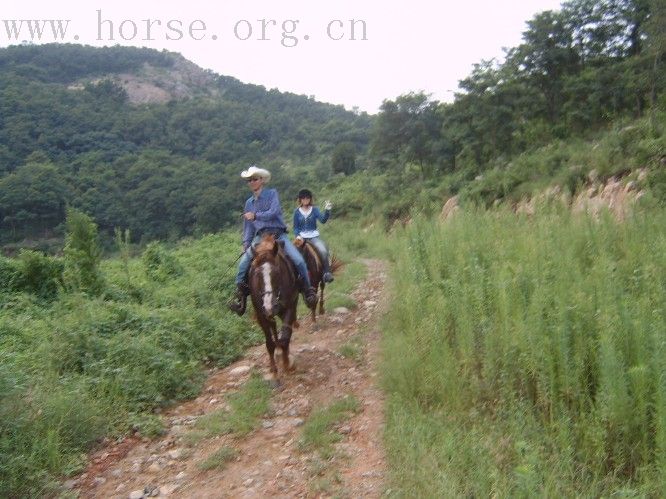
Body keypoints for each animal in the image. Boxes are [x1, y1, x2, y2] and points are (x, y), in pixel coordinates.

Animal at [249, 234, 298, 378]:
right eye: (257, 275)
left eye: (276, 273)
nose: (269, 305)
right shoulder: (261, 314)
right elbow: (269, 343)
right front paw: (273, 368)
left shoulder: (289, 307)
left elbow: (285, 337)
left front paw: (287, 363)